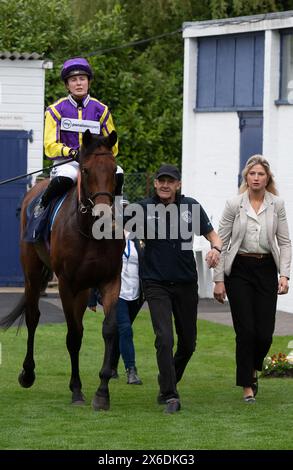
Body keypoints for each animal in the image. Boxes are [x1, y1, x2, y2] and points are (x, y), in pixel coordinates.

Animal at [0, 129, 124, 412]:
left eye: (114, 170)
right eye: (86, 170)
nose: (104, 214)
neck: (89, 232)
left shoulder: (110, 280)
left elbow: (109, 329)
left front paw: (102, 392)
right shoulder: (67, 284)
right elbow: (73, 336)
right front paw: (77, 390)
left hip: (84, 288)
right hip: (33, 274)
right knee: (33, 317)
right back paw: (28, 373)